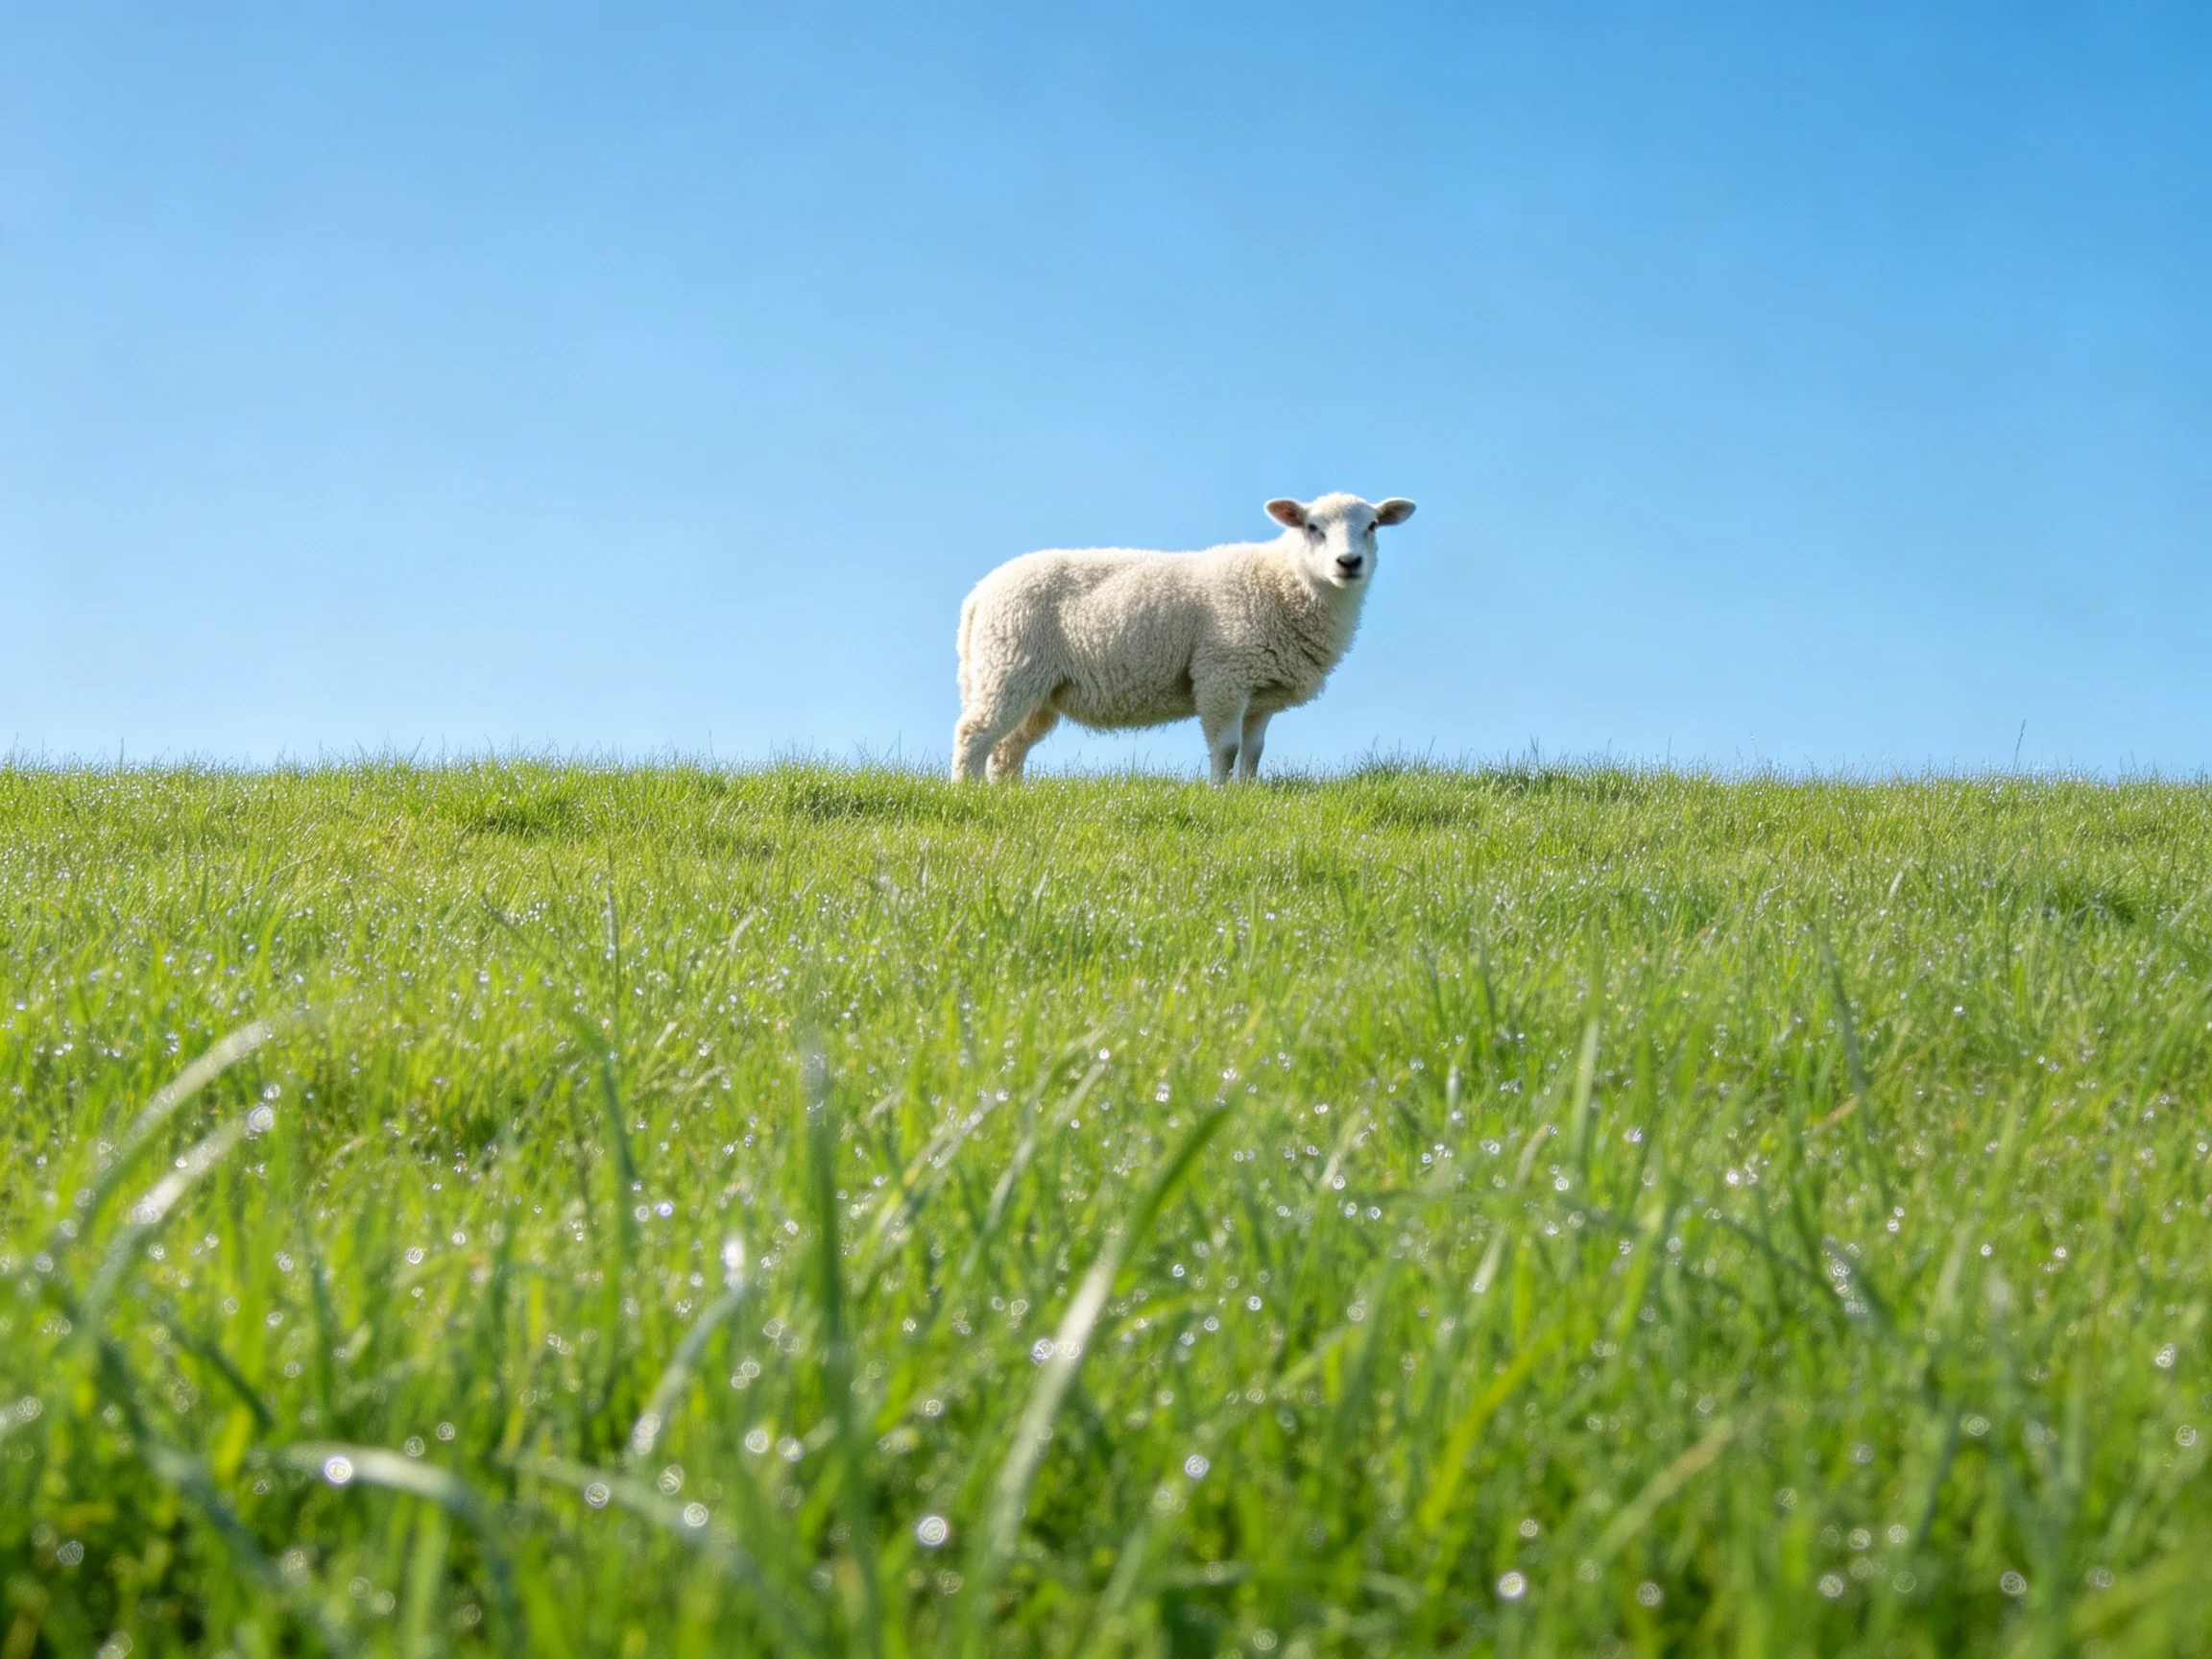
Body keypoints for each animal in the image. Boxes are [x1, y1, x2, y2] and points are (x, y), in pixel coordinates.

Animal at [952, 492, 1416, 784]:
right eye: (1312, 526)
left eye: (1373, 525)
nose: (1348, 562)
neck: (1281, 582)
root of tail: (979, 593)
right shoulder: (1222, 677)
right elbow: (1227, 748)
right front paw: (1218, 795)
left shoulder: (1262, 692)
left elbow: (1253, 752)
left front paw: (1248, 795)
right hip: (1009, 667)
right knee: (973, 734)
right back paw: (968, 794)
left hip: (1037, 690)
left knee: (1007, 749)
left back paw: (1010, 796)